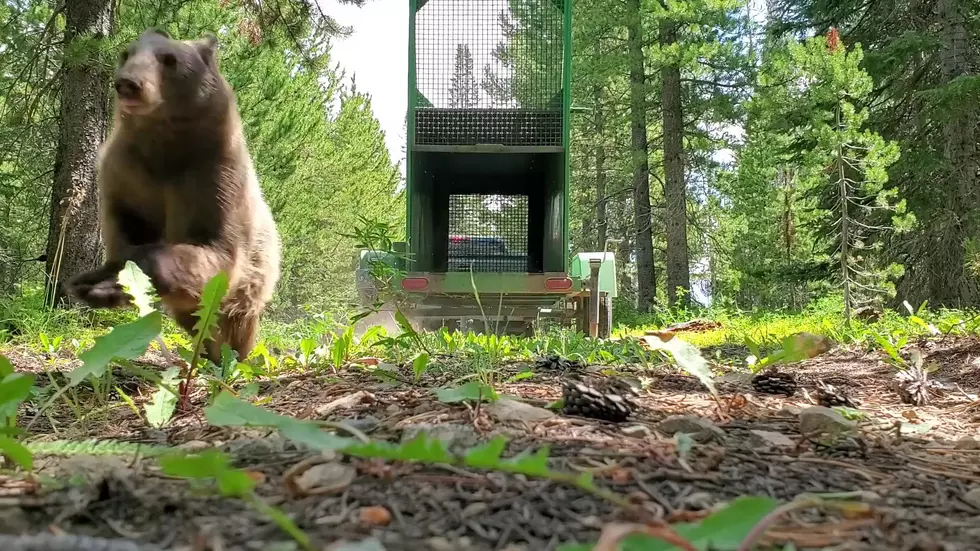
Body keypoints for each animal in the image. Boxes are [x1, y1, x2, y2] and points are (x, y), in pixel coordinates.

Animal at [65, 28, 282, 364]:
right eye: (126, 54)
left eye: (169, 59)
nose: (128, 84)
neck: (164, 144)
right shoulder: (126, 171)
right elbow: (123, 228)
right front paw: (96, 280)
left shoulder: (213, 176)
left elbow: (216, 249)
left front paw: (117, 280)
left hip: (257, 274)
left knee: (237, 319)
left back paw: (233, 355)